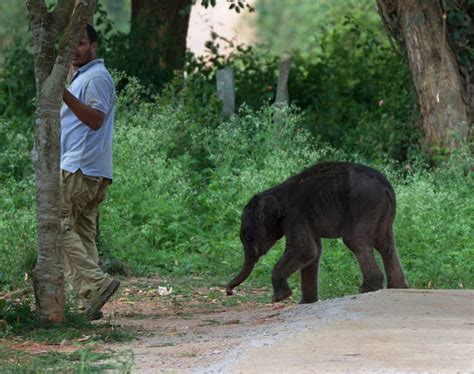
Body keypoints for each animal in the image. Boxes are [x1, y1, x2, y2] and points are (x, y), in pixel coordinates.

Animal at [226, 161, 408, 304]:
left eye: (247, 235)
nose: (229, 292)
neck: (275, 192)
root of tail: (386, 186)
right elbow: (313, 252)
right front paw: (305, 303)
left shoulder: (294, 215)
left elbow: (304, 249)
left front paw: (279, 298)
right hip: (381, 210)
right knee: (385, 245)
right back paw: (397, 287)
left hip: (364, 205)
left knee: (355, 240)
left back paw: (367, 289)